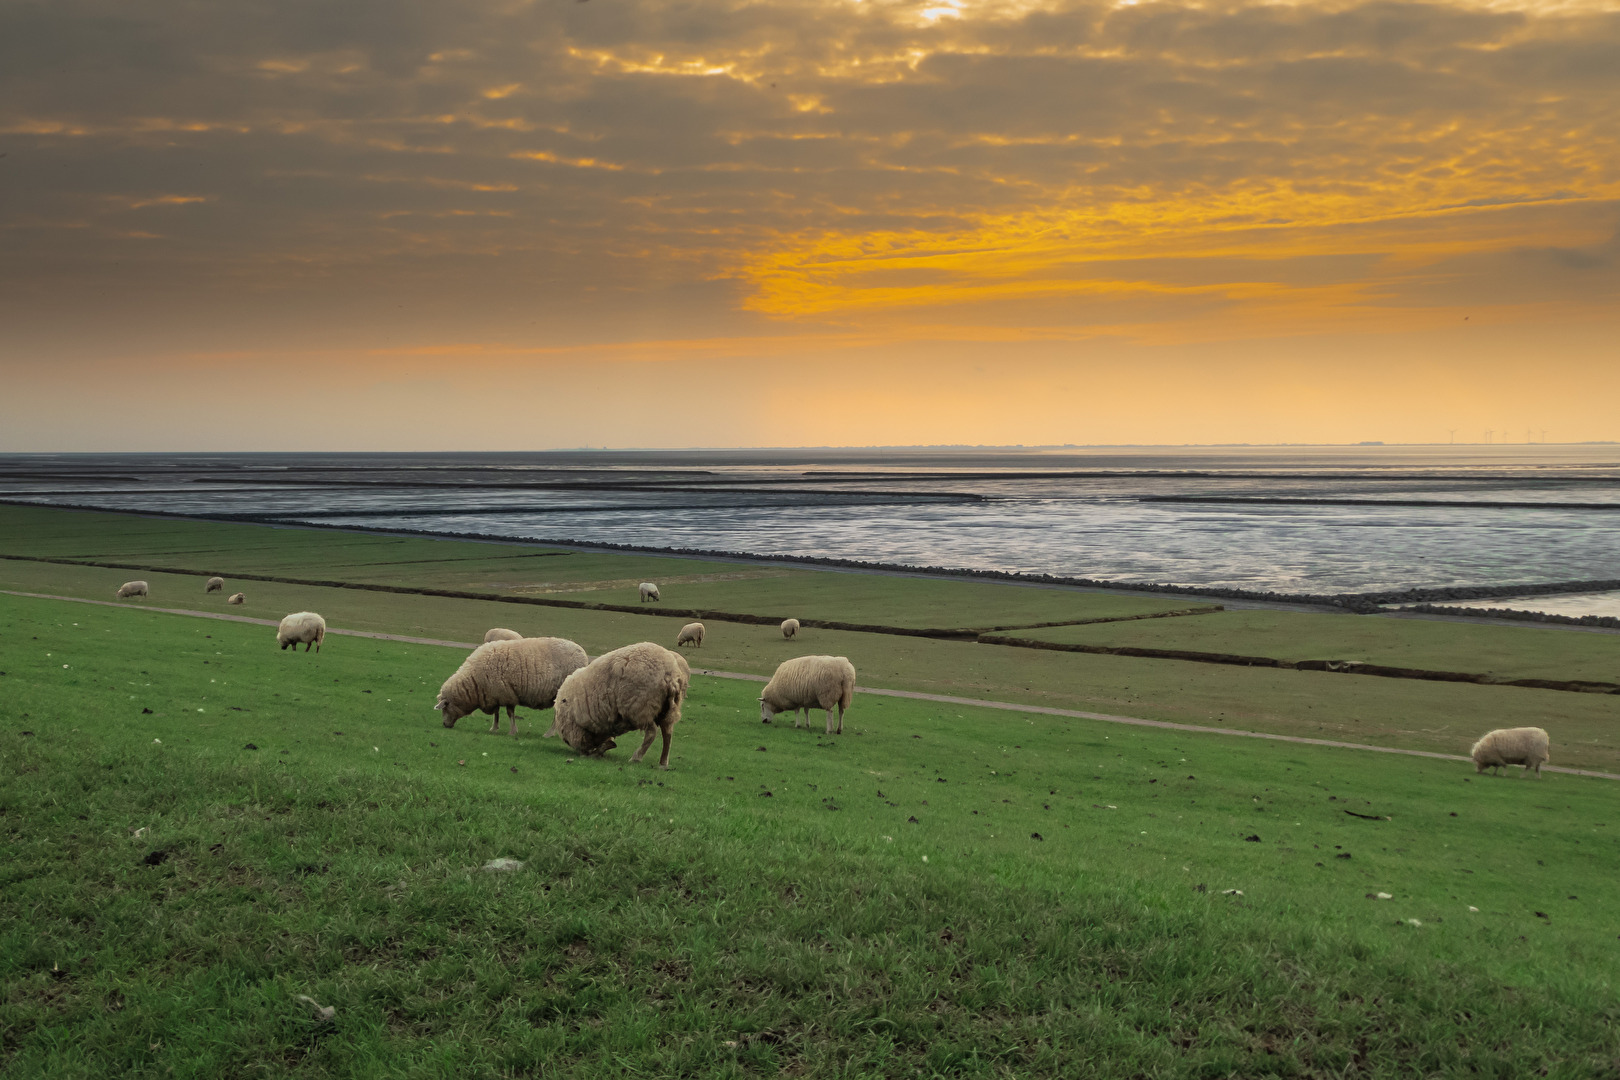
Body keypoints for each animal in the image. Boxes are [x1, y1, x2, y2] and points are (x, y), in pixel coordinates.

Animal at [434, 637, 592, 738]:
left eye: (445, 707)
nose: (444, 725)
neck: (474, 681)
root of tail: (583, 653)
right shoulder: (495, 694)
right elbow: (497, 713)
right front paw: (494, 728)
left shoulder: (507, 694)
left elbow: (509, 713)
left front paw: (512, 731)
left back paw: (549, 734)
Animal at [550, 641, 690, 767]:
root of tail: (670, 674)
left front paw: (596, 752)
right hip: (667, 710)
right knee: (667, 734)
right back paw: (663, 762)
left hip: (641, 707)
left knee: (651, 733)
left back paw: (636, 758)